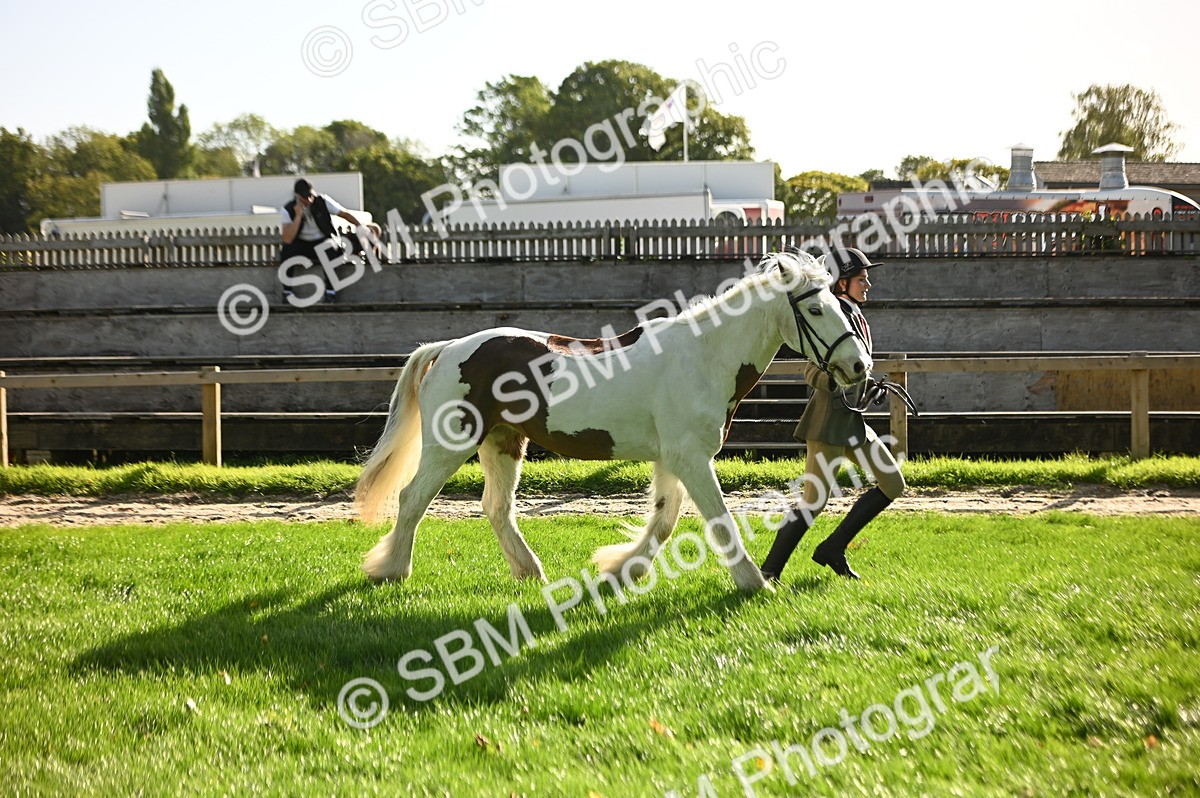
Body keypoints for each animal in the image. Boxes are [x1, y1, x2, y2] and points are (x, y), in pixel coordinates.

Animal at [354, 251, 872, 593]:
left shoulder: (673, 458)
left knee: (496, 508)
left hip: (503, 443)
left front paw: (624, 570)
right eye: (815, 309)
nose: (859, 366)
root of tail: (449, 348)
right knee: (413, 497)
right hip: (452, 444)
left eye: (841, 305)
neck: (703, 358)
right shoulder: (691, 457)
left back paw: (531, 572)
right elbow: (719, 519)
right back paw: (392, 569)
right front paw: (753, 583)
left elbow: (664, 519)